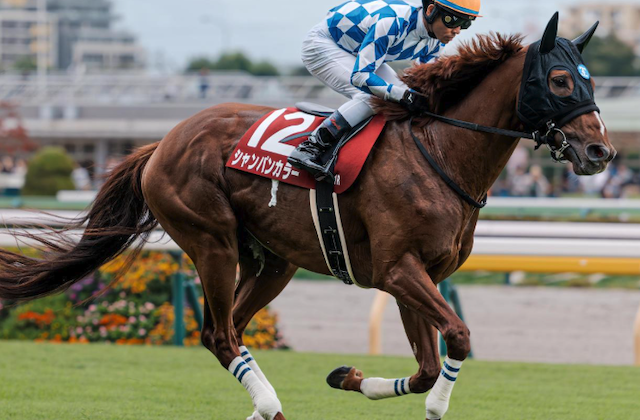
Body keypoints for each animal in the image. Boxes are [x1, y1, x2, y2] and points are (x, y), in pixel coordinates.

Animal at [0, 16, 615, 420]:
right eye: (561, 80)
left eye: (590, 79)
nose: (601, 153)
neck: (440, 151)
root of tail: (162, 143)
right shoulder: (398, 270)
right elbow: (459, 338)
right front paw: (437, 407)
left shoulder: (420, 275)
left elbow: (423, 366)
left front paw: (350, 377)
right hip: (213, 242)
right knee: (220, 334)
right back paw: (270, 407)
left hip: (272, 262)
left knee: (231, 330)